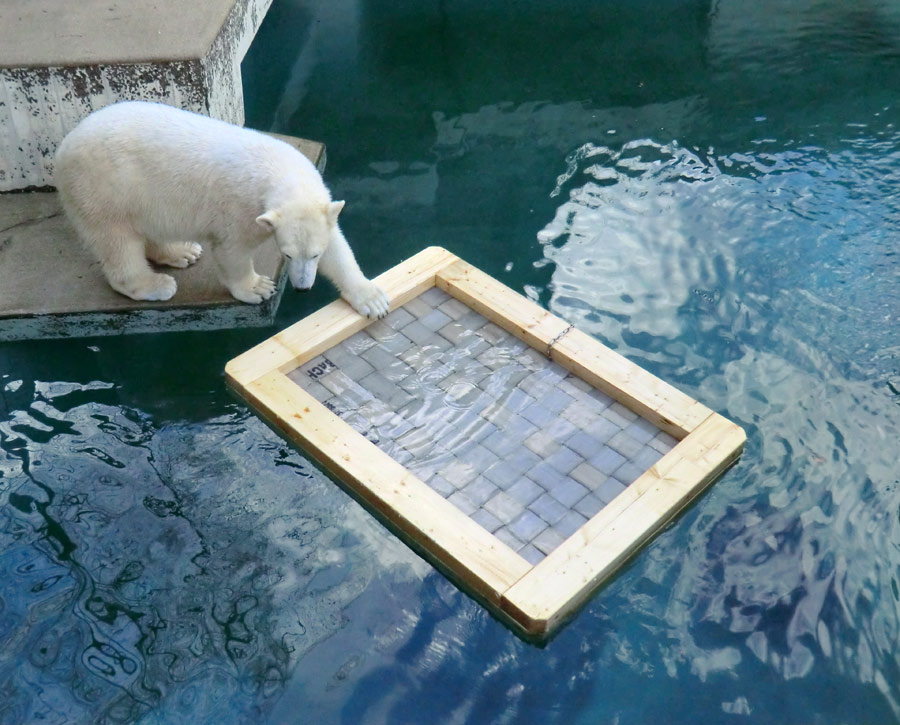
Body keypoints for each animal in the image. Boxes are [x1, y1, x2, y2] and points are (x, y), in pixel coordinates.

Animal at [53, 99, 390, 316]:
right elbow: (233, 250)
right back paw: (155, 284)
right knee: (117, 240)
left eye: (314, 255)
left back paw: (182, 252)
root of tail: (64, 145)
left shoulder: (318, 208)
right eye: (287, 255)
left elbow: (338, 247)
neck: (279, 169)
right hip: (103, 187)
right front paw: (258, 288)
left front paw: (372, 299)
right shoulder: (240, 208)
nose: (302, 288)